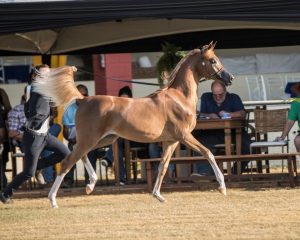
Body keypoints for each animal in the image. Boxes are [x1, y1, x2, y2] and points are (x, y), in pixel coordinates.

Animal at [33, 42, 234, 207]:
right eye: (213, 60)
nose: (230, 78)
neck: (179, 98)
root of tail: (82, 99)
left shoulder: (171, 141)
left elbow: (163, 166)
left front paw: (158, 195)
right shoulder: (184, 136)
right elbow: (208, 153)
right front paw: (222, 187)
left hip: (103, 140)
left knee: (80, 155)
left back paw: (90, 185)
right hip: (90, 139)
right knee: (68, 161)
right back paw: (53, 200)